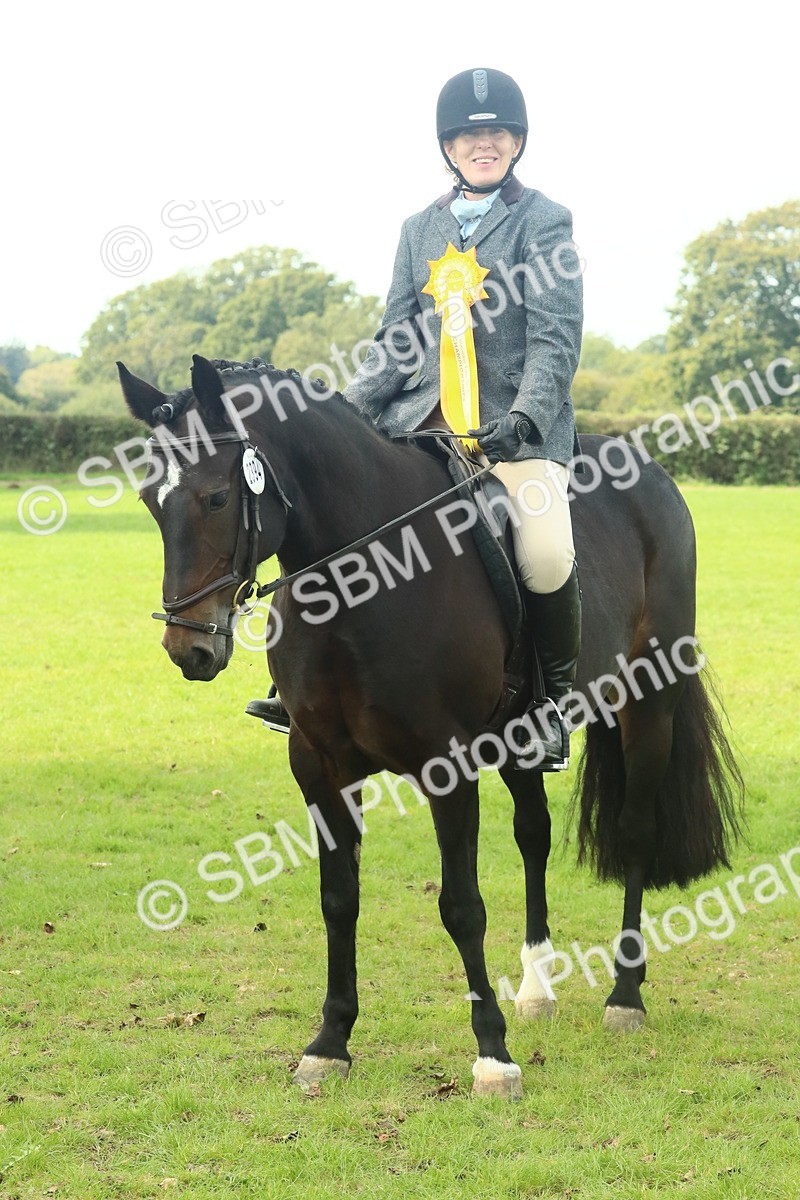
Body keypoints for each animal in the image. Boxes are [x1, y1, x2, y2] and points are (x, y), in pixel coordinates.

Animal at [118, 353, 743, 1100]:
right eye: (151, 501)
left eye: (215, 498)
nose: (189, 648)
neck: (363, 582)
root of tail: (650, 473)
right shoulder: (319, 763)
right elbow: (339, 898)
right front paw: (329, 1042)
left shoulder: (446, 766)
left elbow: (461, 906)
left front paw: (494, 1056)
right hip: (518, 738)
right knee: (533, 835)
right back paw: (537, 988)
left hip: (648, 704)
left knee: (636, 830)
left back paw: (625, 995)